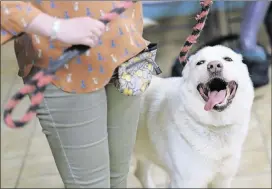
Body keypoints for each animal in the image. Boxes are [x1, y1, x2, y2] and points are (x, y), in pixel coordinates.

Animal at [134, 45, 255, 188]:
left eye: (227, 59)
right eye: (200, 62)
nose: (214, 66)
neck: (215, 126)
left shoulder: (222, 180)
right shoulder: (185, 182)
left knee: (140, 173)